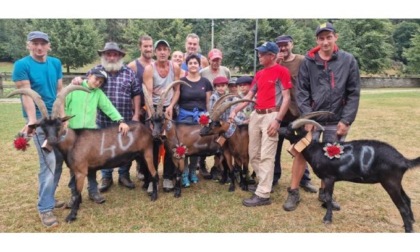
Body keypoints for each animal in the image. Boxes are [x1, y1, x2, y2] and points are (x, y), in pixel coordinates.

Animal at [8, 86, 159, 222]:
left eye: (58, 124)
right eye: (43, 126)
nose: (51, 141)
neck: (74, 141)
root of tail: (147, 129)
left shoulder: (81, 170)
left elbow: (77, 191)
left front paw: (71, 216)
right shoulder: (74, 170)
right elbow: (75, 191)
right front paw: (76, 206)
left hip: (147, 152)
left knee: (154, 173)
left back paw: (154, 196)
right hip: (140, 155)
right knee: (148, 172)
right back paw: (146, 187)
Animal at [278, 117, 420, 233]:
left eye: (290, 129)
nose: (279, 128)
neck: (316, 150)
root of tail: (403, 160)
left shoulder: (329, 178)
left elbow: (329, 197)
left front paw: (327, 218)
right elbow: (327, 196)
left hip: (390, 182)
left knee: (402, 206)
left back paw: (408, 229)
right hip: (396, 182)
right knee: (407, 199)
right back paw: (411, 222)